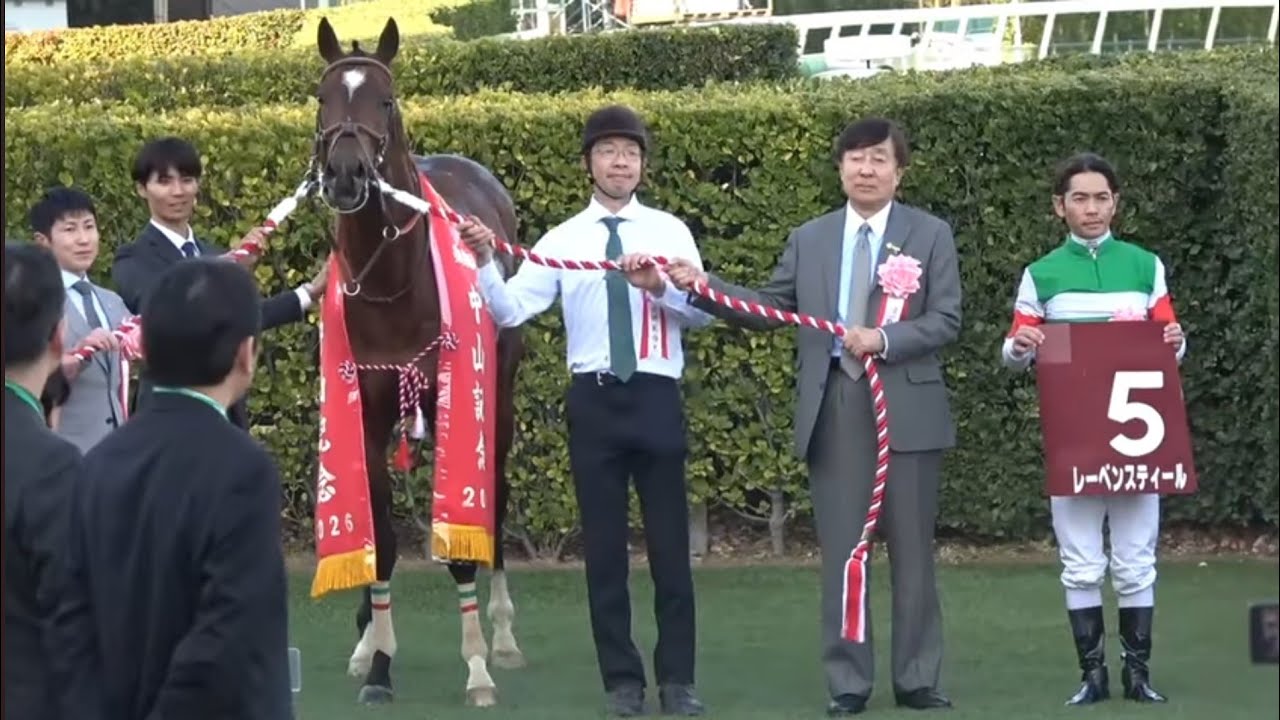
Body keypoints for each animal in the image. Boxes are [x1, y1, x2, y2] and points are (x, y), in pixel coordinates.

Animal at [310, 16, 526, 707]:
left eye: (385, 99)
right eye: (324, 98)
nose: (346, 174)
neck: (392, 287)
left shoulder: (459, 401)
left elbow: (461, 542)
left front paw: (478, 665)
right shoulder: (365, 411)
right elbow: (377, 542)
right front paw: (378, 662)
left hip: (499, 398)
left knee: (496, 497)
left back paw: (504, 636)